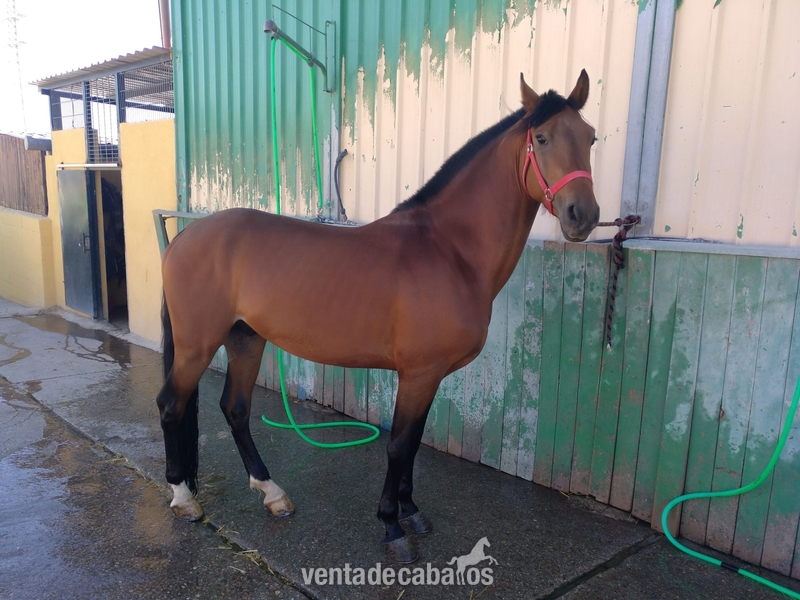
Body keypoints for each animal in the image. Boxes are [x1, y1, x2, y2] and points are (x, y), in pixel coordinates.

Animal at [156, 70, 600, 564]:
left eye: (591, 137)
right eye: (541, 138)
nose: (583, 215)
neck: (448, 249)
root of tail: (185, 237)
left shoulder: (430, 375)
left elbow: (414, 442)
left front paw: (411, 511)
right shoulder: (419, 372)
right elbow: (400, 444)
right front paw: (392, 525)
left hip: (245, 338)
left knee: (235, 409)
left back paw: (272, 494)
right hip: (197, 345)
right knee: (171, 404)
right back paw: (184, 498)